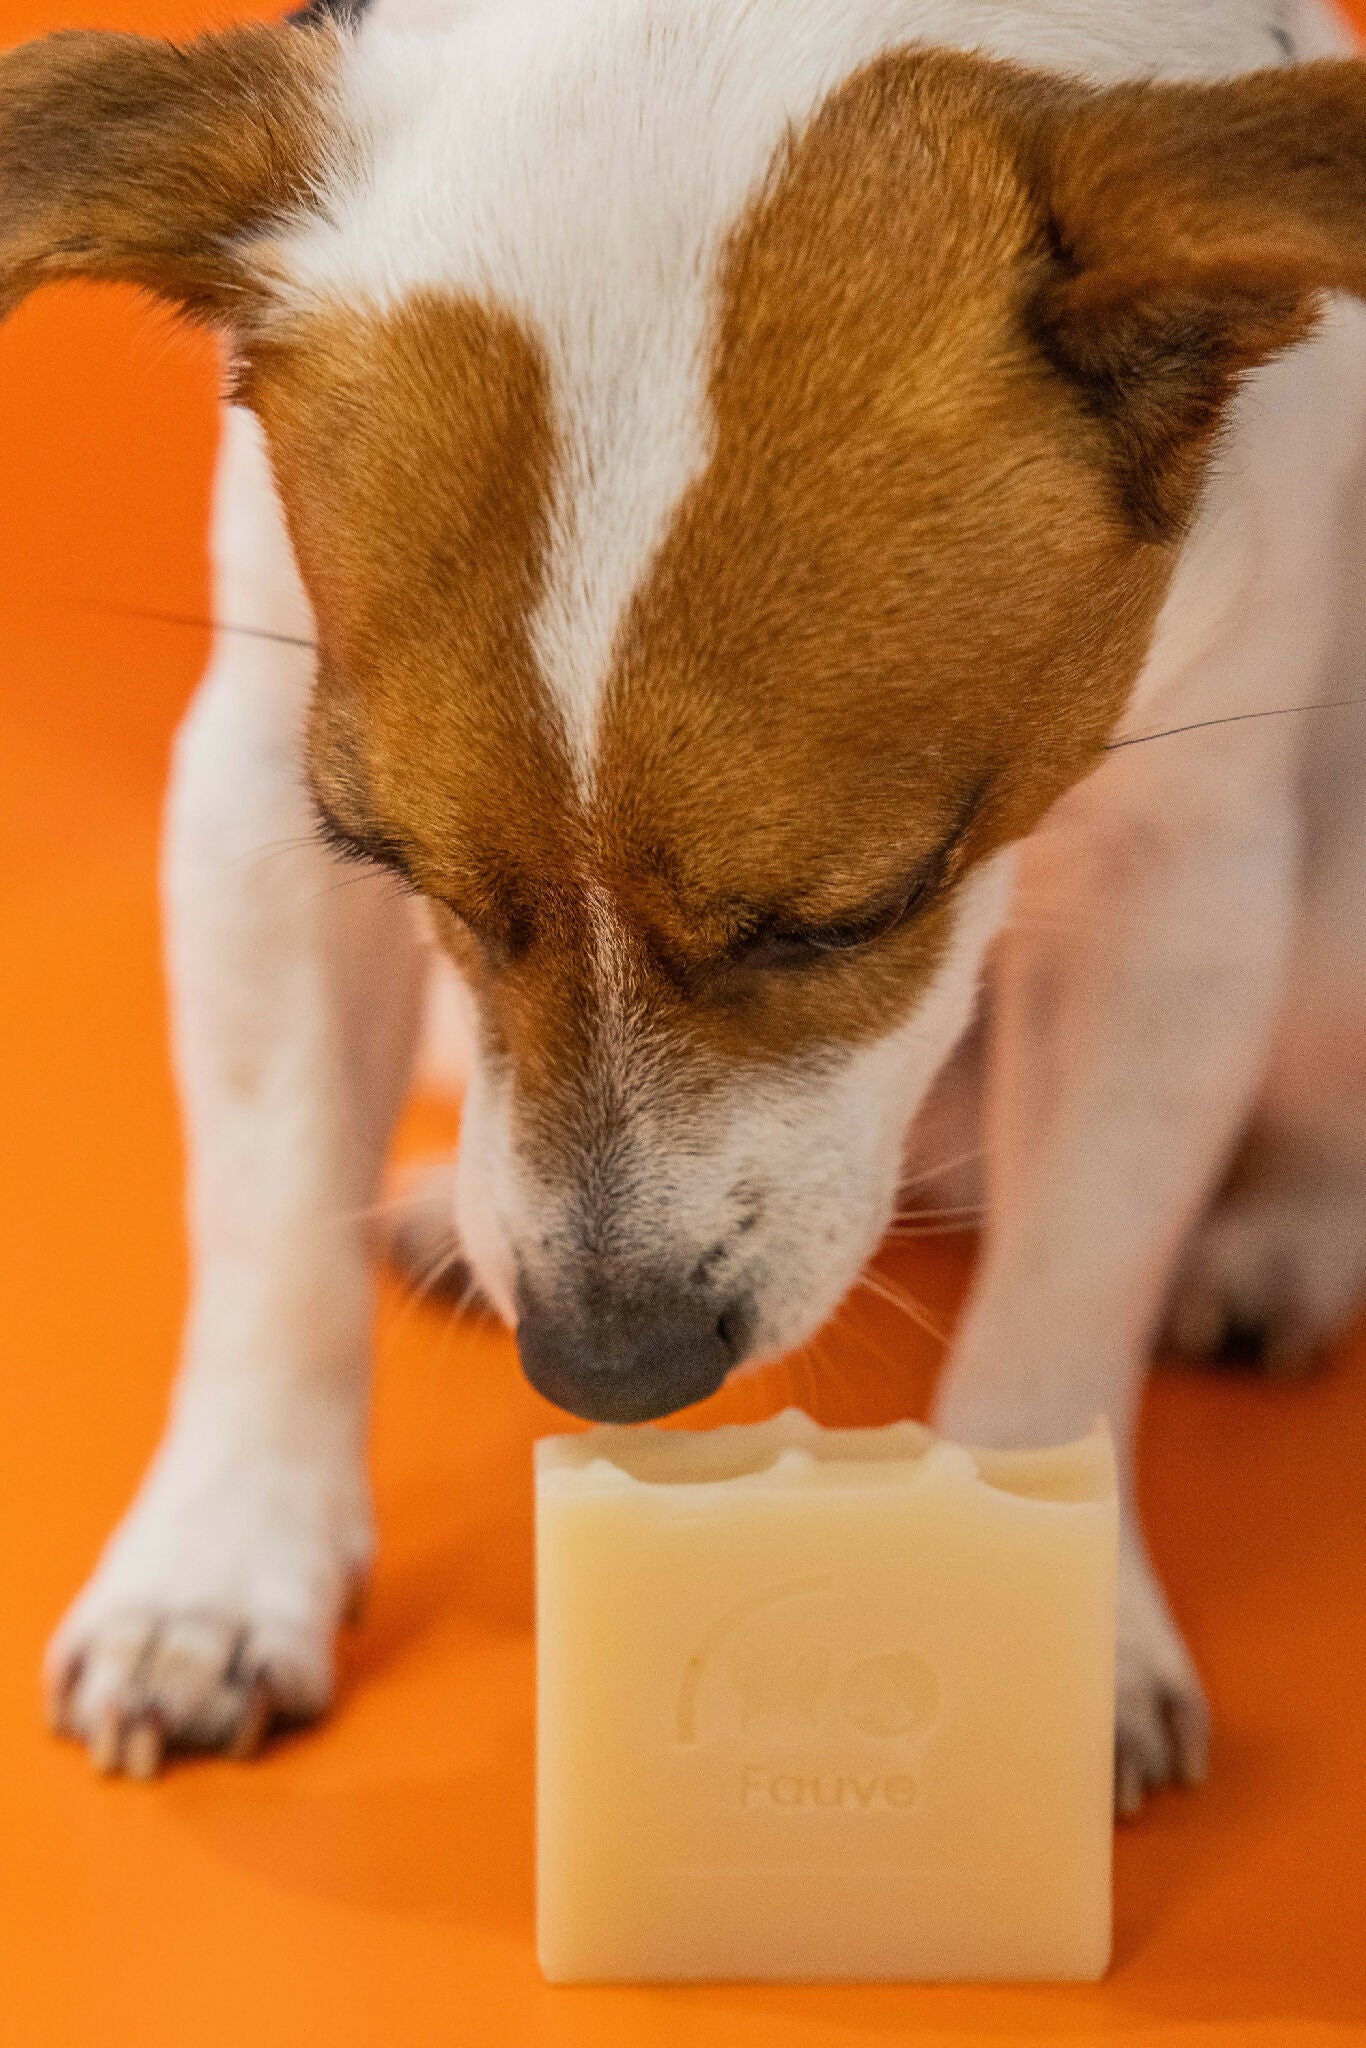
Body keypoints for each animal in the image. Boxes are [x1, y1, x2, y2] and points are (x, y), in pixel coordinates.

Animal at [15, 0, 1366, 1810]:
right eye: (395, 864)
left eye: (855, 914)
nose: (610, 1370)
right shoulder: (253, 795)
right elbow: (267, 1214)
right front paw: (223, 1564)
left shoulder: (1185, 873)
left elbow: (1074, 1281)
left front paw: (1054, 1609)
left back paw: (1279, 1235)